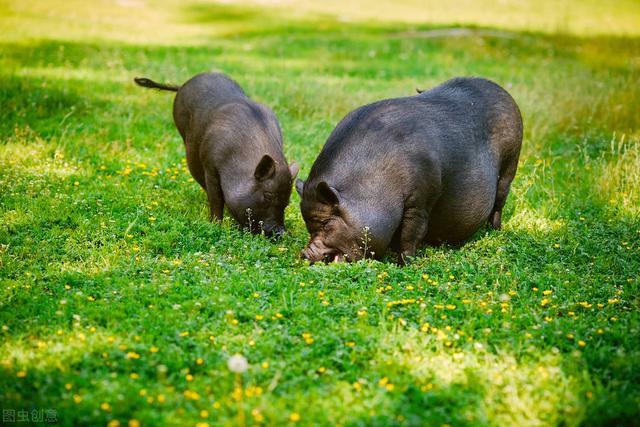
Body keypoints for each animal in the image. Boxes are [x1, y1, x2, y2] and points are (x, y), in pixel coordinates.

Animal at [134, 71, 298, 236]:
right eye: (268, 195)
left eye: (287, 201)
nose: (280, 232)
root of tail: (184, 84)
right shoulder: (210, 167)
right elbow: (216, 199)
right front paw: (216, 225)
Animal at [298, 77, 524, 264]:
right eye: (308, 226)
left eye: (327, 223)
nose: (305, 253)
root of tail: (504, 91)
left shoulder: (422, 197)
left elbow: (411, 234)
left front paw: (405, 264)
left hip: (510, 163)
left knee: (499, 200)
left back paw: (494, 230)